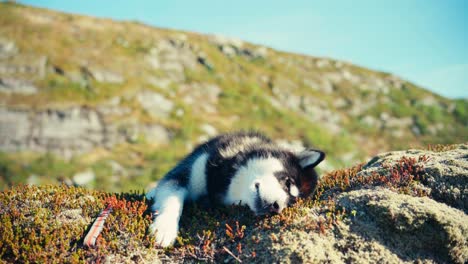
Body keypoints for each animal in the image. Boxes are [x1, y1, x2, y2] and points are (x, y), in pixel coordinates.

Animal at [147, 132, 326, 248]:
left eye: (290, 204)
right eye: (288, 183)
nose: (275, 207)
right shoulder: (185, 173)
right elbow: (172, 199)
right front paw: (165, 228)